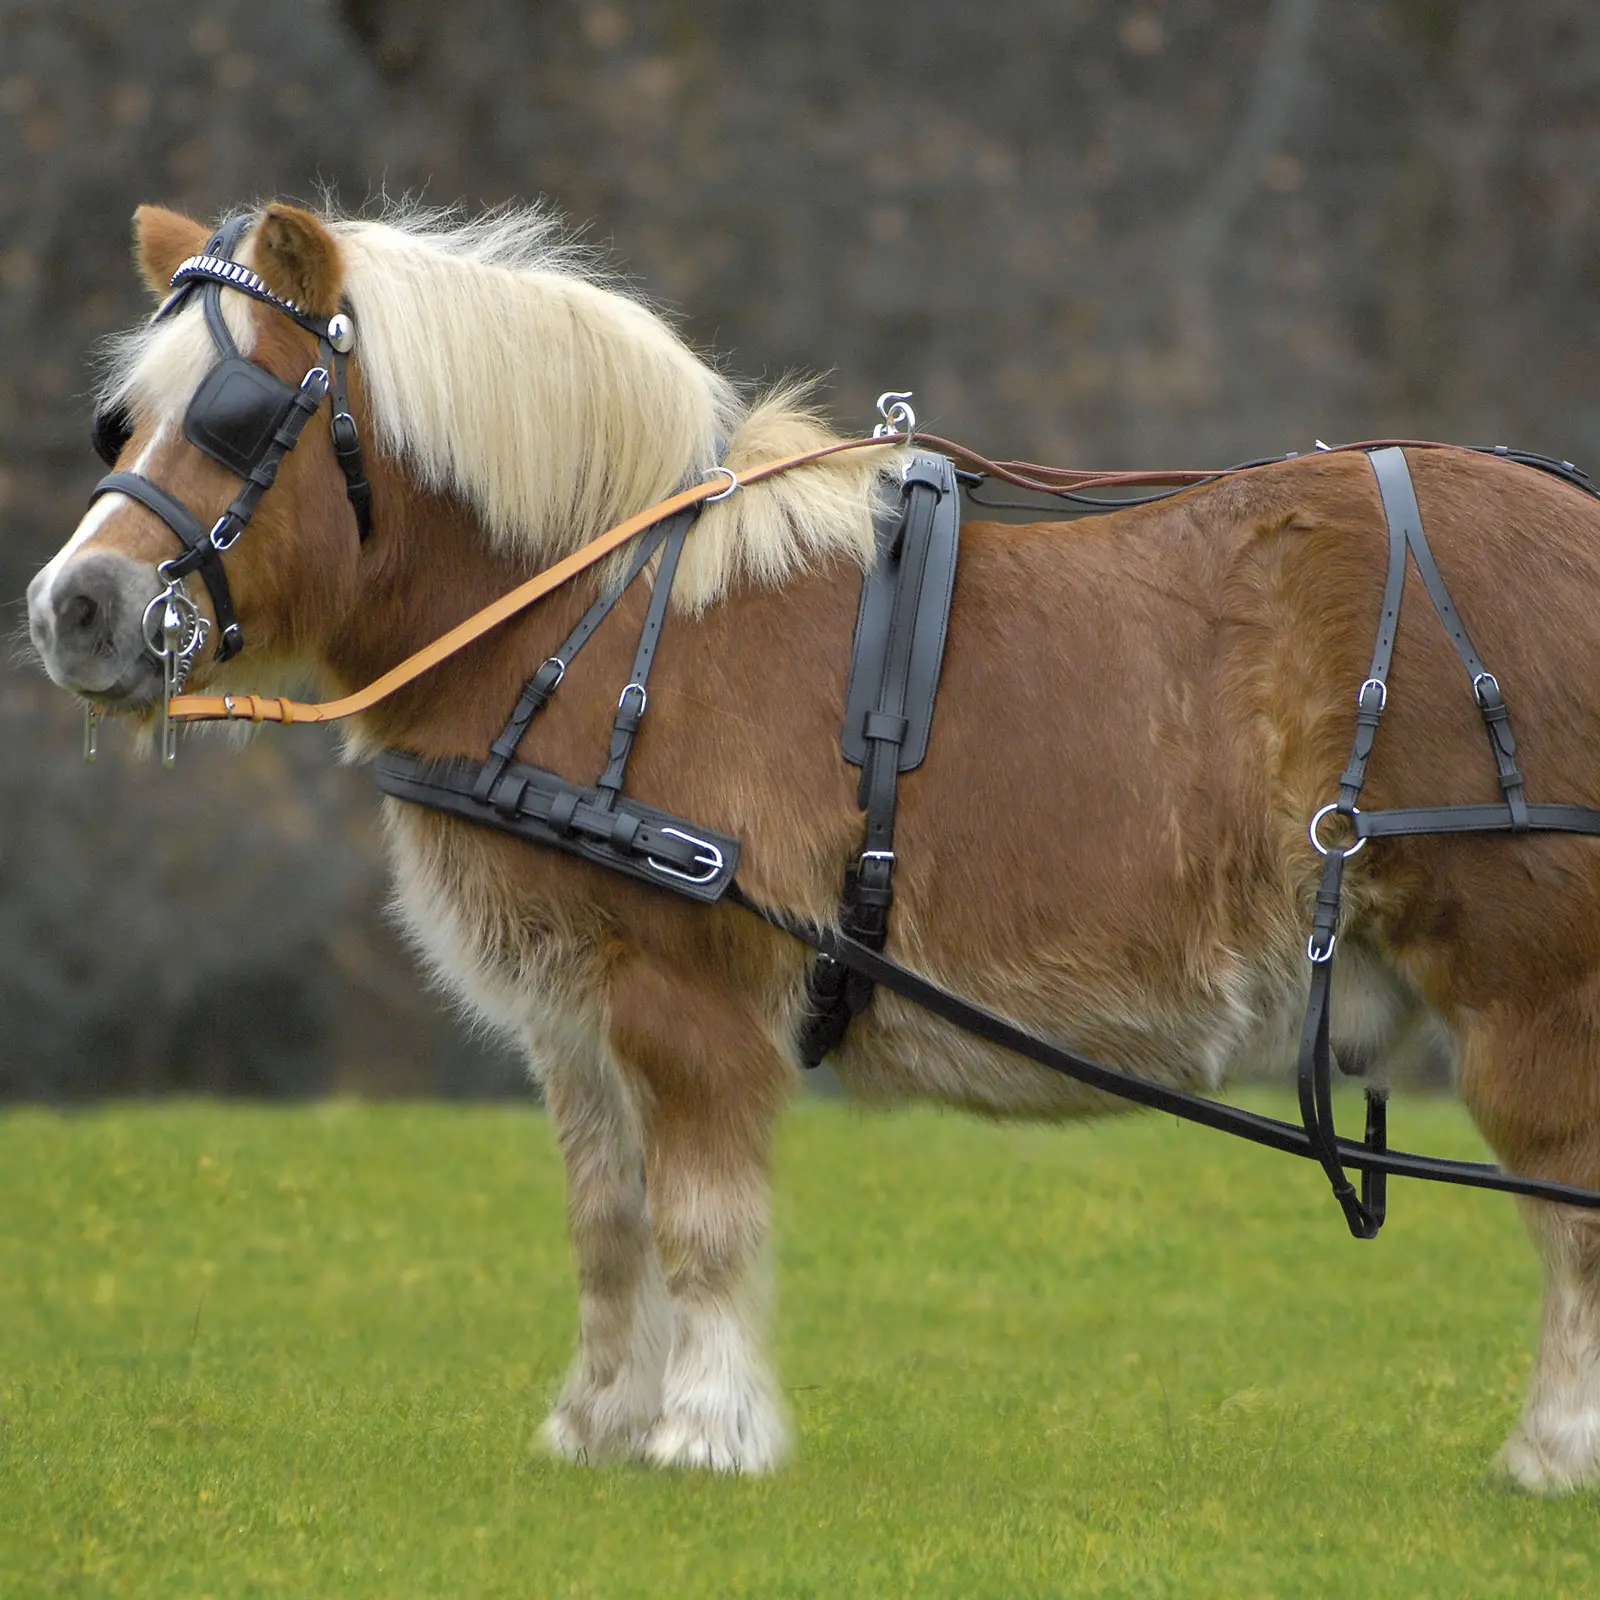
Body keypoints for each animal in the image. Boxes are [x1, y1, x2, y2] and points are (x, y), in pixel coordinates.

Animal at [26, 200, 1600, 1489]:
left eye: (238, 417)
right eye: (122, 419)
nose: (73, 609)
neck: (594, 612)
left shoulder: (689, 998)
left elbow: (701, 1223)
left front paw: (706, 1433)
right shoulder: (573, 1022)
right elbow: (608, 1226)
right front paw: (597, 1426)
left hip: (1531, 990)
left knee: (1567, 1203)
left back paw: (1552, 1450)